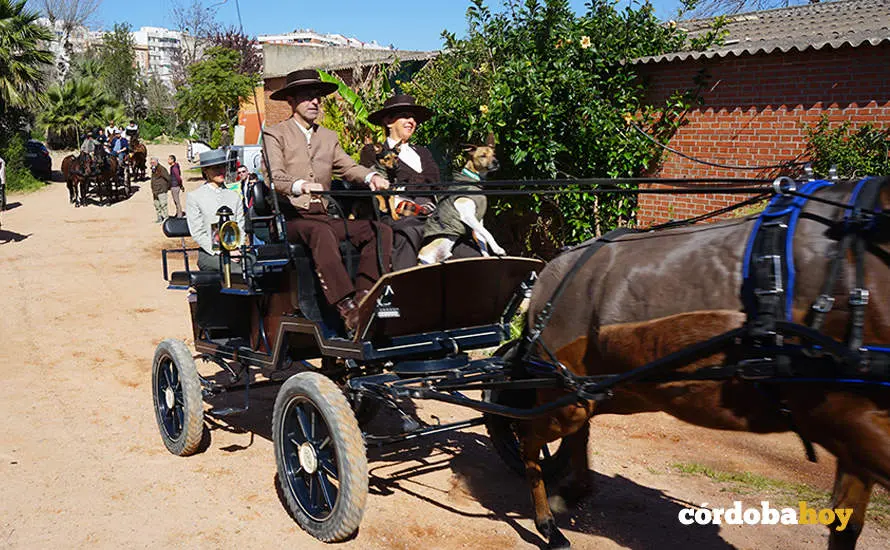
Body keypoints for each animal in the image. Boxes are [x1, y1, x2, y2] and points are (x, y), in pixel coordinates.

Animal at [514, 177, 890, 549]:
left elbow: (846, 523)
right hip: (565, 398)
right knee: (529, 440)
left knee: (572, 435)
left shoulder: (853, 429)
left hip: (596, 391)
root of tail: (551, 272)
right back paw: (547, 523)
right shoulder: (849, 418)